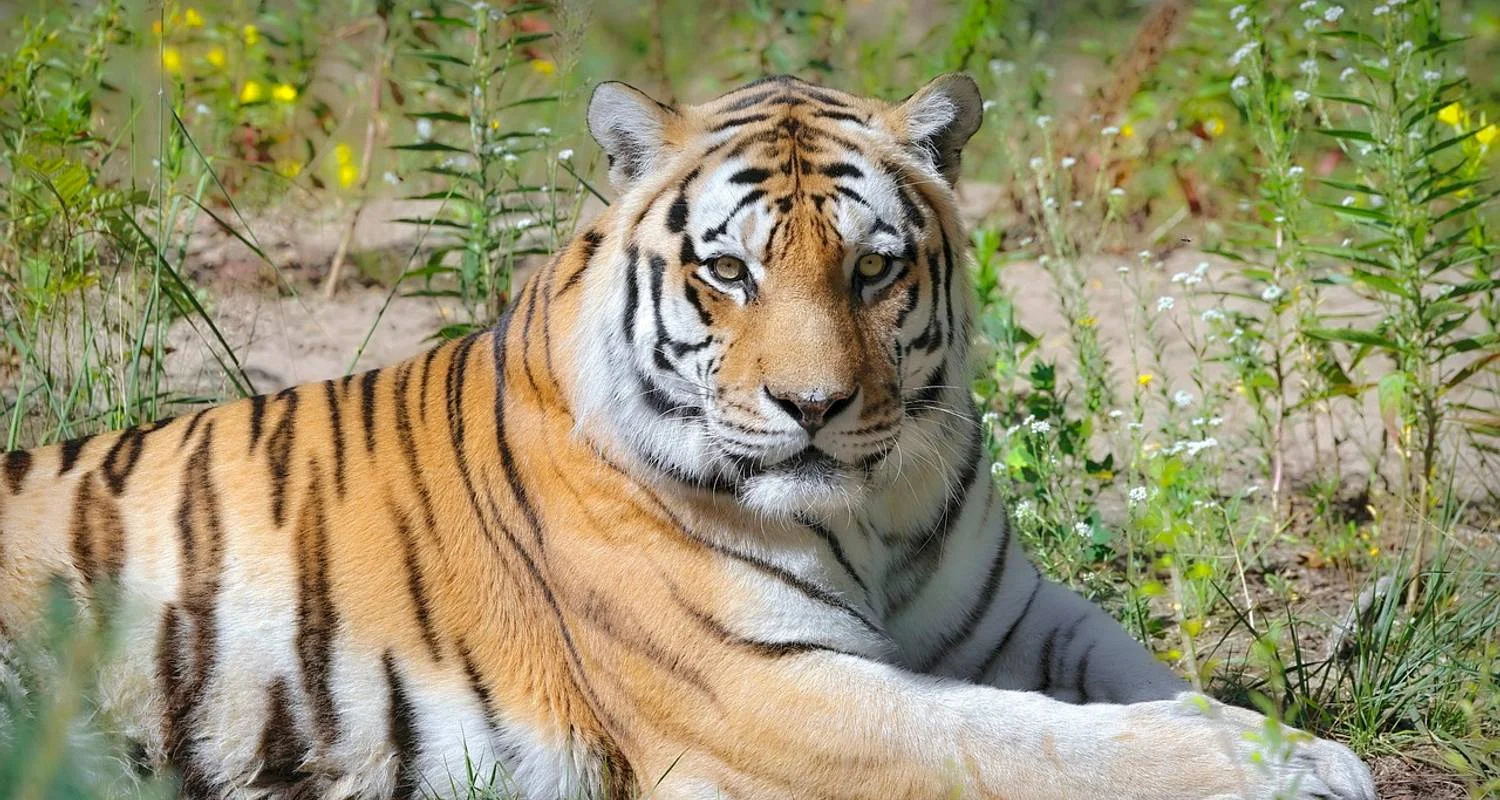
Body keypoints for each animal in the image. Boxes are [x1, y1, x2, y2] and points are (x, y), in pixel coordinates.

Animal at [0, 73, 1375, 800]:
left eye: (875, 270)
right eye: (727, 271)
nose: (813, 408)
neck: (872, 513)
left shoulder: (1018, 618)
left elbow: (1147, 678)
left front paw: (1294, 742)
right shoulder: (763, 690)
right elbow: (1018, 738)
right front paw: (1291, 769)